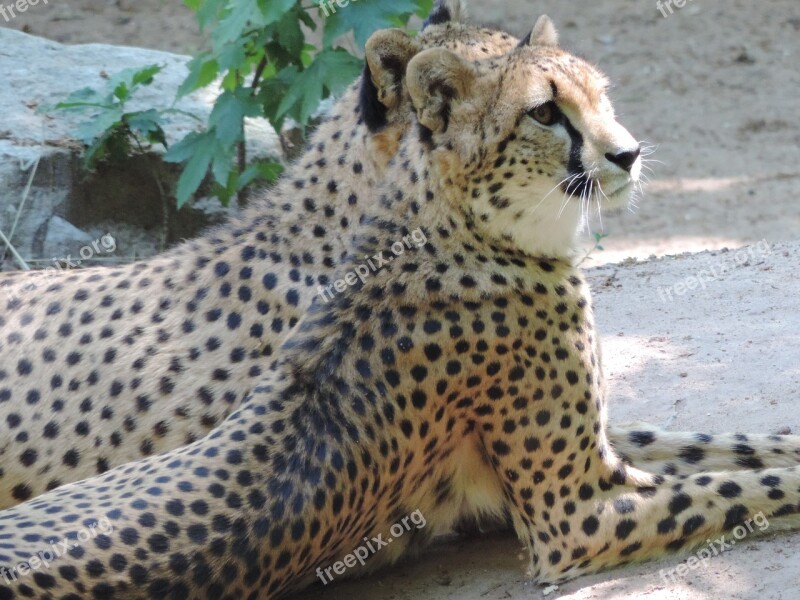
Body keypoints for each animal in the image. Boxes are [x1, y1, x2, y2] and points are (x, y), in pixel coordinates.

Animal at [1, 14, 800, 600]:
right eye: (546, 113)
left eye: (600, 94)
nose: (628, 154)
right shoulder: (570, 515)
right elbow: (733, 484)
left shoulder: (596, 458)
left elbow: (710, 444)